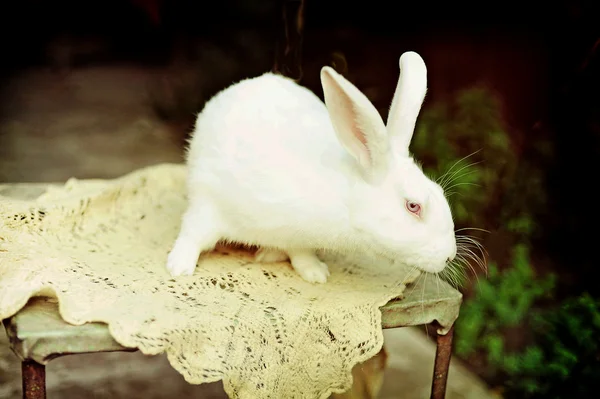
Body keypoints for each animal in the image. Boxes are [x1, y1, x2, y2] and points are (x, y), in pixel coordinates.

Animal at [166, 51, 458, 282]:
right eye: (413, 206)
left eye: (440, 193)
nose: (449, 256)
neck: (345, 201)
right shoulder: (208, 202)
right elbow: (192, 234)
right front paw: (178, 267)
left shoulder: (298, 237)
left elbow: (301, 254)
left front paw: (316, 273)